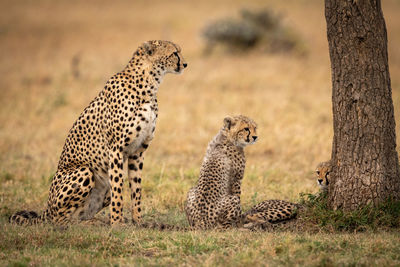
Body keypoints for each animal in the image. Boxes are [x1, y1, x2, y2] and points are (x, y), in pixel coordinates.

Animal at [9, 40, 188, 228]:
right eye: (174, 53)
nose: (185, 64)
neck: (149, 85)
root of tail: (46, 210)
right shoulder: (116, 149)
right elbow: (118, 190)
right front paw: (117, 223)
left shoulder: (138, 152)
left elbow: (136, 189)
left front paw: (138, 221)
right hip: (84, 171)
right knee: (59, 220)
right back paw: (88, 224)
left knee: (78, 214)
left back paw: (95, 221)